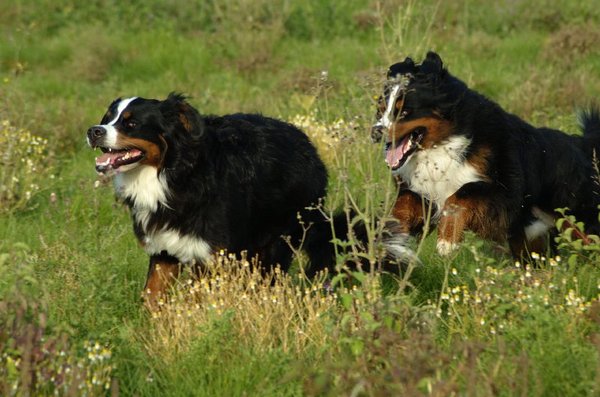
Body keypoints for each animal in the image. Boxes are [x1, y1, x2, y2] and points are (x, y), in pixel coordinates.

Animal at [88, 94, 408, 302]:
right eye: (108, 118)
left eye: (130, 124)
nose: (94, 131)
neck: (174, 173)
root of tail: (309, 147)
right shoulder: (165, 249)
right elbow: (151, 298)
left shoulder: (214, 255)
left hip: (275, 243)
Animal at [370, 50, 600, 256]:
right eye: (381, 110)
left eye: (404, 111)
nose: (375, 132)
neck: (444, 144)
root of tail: (583, 144)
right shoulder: (421, 191)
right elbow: (403, 204)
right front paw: (387, 234)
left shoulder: (503, 191)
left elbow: (460, 194)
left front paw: (447, 242)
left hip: (574, 216)